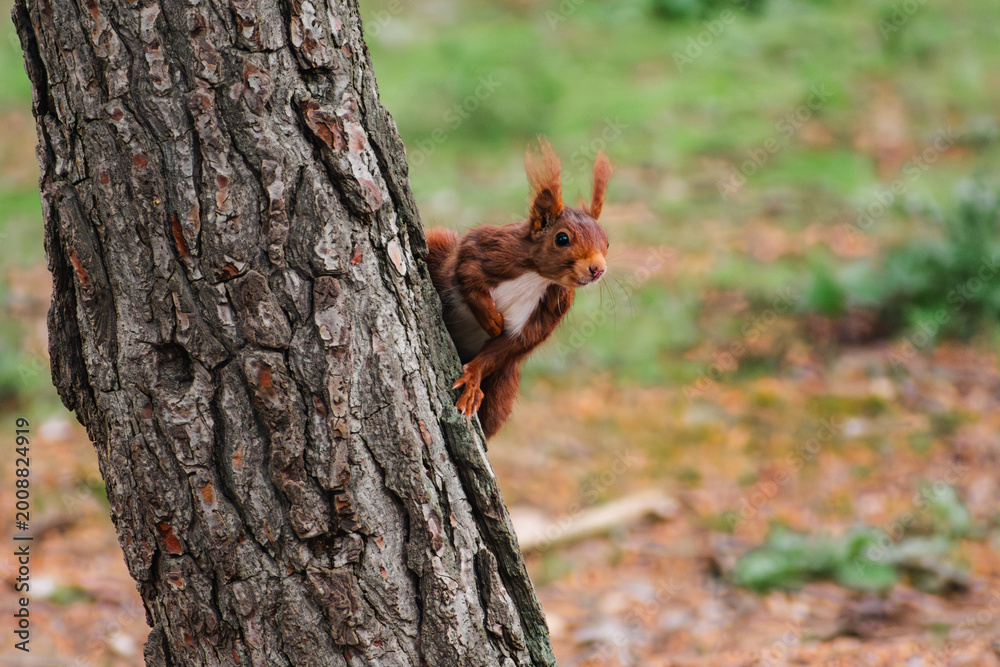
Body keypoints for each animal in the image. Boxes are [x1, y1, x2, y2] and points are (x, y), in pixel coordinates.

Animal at [425, 138, 612, 439]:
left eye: (607, 242)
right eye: (562, 238)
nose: (597, 269)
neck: (538, 277)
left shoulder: (551, 309)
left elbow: (513, 343)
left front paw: (473, 377)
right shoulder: (492, 248)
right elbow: (467, 270)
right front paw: (490, 317)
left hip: (503, 383)